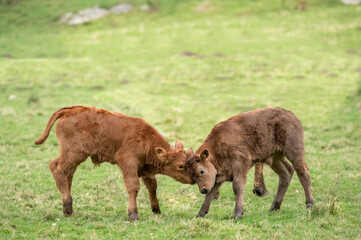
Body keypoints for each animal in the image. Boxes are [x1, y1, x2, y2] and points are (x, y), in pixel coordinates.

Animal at [34, 106, 194, 220]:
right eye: (180, 166)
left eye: (189, 162)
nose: (193, 179)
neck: (146, 139)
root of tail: (70, 110)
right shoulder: (128, 162)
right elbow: (133, 186)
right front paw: (133, 214)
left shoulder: (144, 169)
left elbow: (152, 186)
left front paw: (156, 210)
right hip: (75, 154)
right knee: (57, 168)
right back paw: (67, 206)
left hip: (73, 157)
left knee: (67, 174)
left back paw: (68, 208)